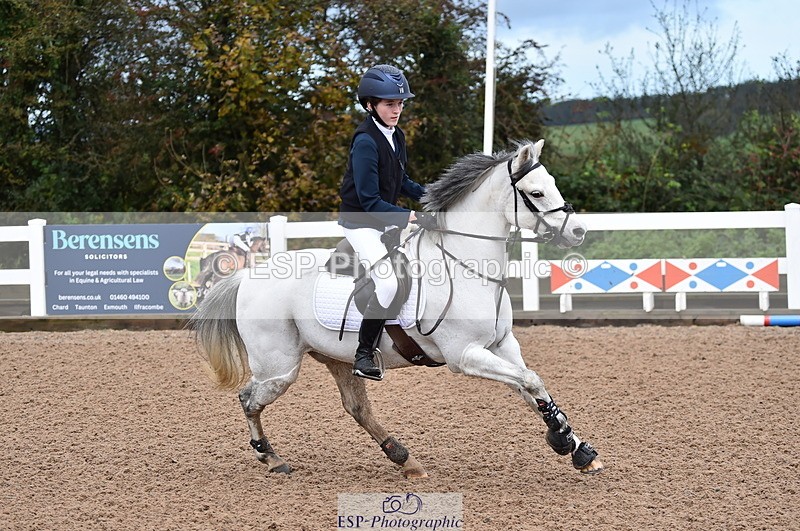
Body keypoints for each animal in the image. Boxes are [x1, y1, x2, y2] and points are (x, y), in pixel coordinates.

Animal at [191, 139, 604, 478]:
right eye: (536, 192)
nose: (578, 232)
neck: (465, 263)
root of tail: (248, 276)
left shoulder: (502, 345)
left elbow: (533, 386)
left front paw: (576, 448)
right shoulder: (465, 355)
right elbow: (529, 381)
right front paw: (564, 440)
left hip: (334, 357)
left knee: (356, 408)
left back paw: (404, 458)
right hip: (279, 367)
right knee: (250, 399)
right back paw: (271, 457)